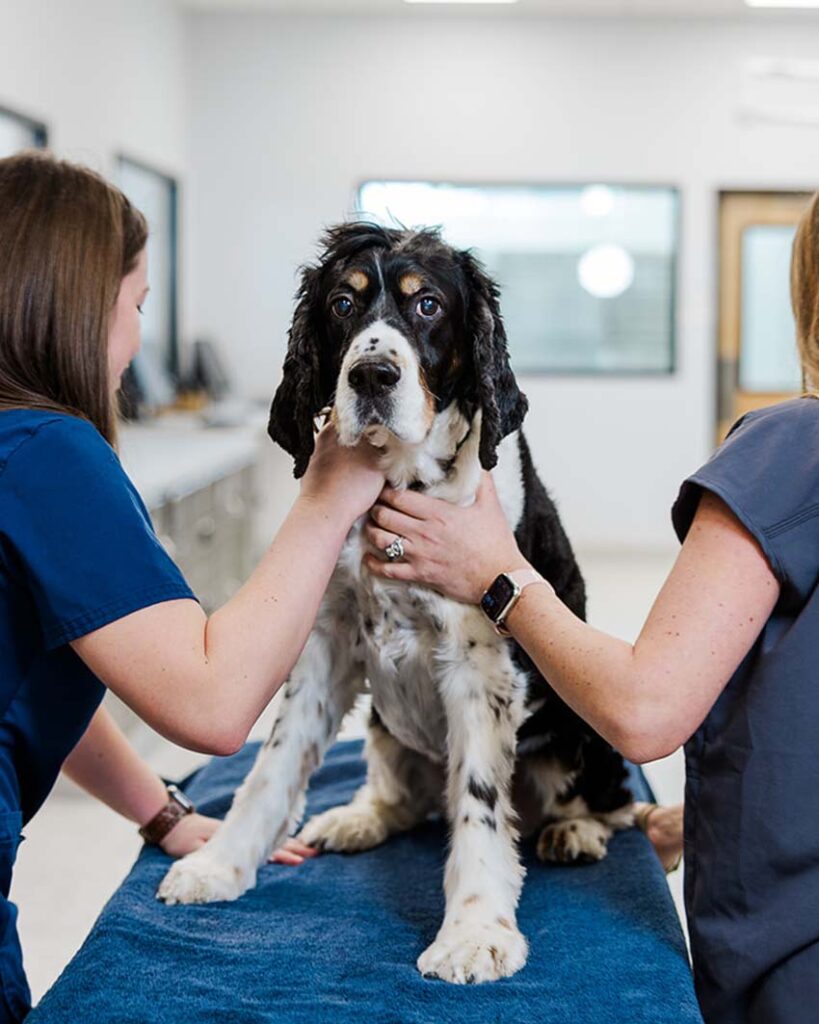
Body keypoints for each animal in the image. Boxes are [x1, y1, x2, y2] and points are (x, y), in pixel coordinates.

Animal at [159, 222, 634, 983]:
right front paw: (219, 863)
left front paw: (473, 931)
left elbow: (479, 804)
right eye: (343, 305)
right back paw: (357, 816)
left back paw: (572, 829)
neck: (396, 482)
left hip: (581, 728)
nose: (372, 376)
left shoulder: (479, 668)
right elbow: (272, 766)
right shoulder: (325, 642)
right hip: (385, 726)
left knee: (610, 801)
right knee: (404, 800)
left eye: (428, 306)